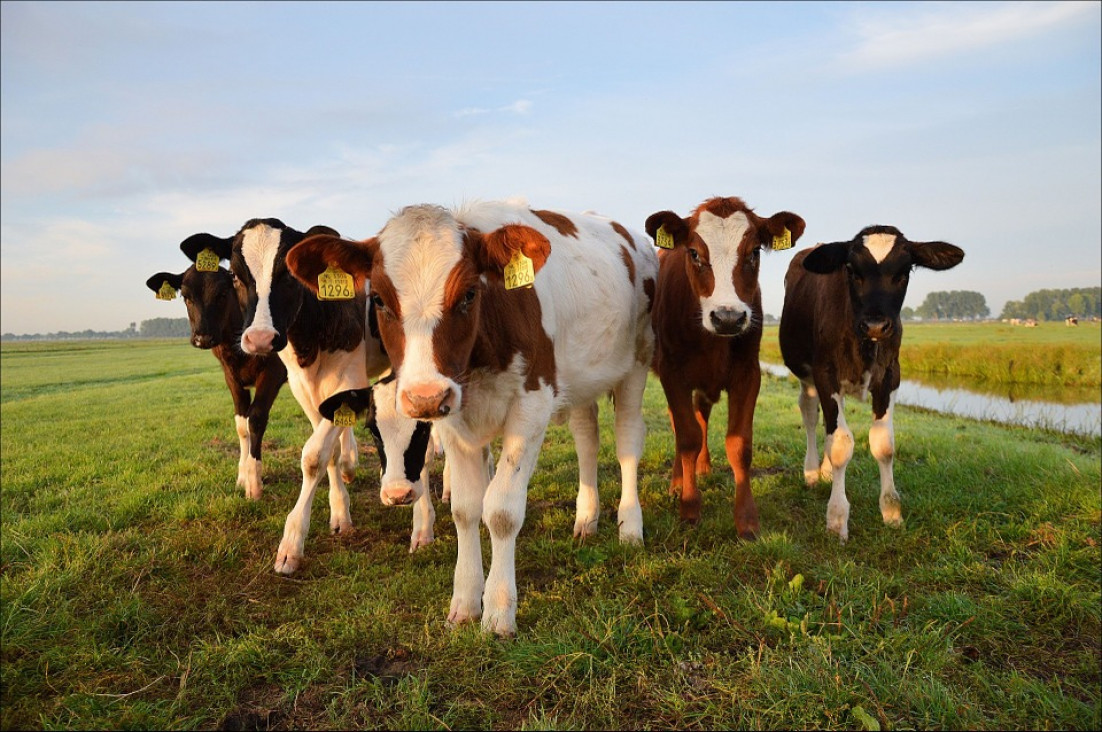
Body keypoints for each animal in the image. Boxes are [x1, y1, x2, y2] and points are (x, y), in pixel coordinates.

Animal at [144, 237, 286, 500]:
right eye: (186, 297)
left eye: (222, 294)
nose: (203, 338)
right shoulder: (231, 377)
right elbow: (241, 425)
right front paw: (242, 477)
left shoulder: (273, 371)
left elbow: (256, 419)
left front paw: (254, 483)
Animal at [196, 217, 436, 573]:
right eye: (236, 276)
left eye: (288, 274)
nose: (259, 338)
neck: (312, 331)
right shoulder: (302, 387)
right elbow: (330, 452)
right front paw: (340, 513)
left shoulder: (345, 377)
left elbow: (313, 456)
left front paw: (291, 544)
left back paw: (425, 521)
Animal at [288, 200, 656, 634]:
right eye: (376, 298)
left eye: (468, 293)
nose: (425, 396)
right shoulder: (453, 417)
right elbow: (465, 508)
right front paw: (465, 602)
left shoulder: (532, 405)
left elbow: (501, 510)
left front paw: (498, 610)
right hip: (581, 379)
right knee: (586, 438)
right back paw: (586, 518)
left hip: (637, 362)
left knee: (627, 441)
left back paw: (630, 526)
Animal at [643, 197, 811, 540]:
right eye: (694, 253)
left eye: (754, 251)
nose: (728, 318)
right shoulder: (671, 373)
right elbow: (687, 438)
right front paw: (689, 507)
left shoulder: (748, 373)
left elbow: (739, 444)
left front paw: (747, 520)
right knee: (681, 425)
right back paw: (678, 481)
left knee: (702, 414)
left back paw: (703, 466)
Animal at [775, 225, 965, 540]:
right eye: (852, 270)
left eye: (904, 271)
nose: (876, 325)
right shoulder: (825, 375)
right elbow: (840, 444)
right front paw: (837, 518)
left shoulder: (890, 377)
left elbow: (883, 445)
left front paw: (891, 511)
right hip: (806, 376)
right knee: (811, 415)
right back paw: (812, 471)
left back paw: (825, 471)